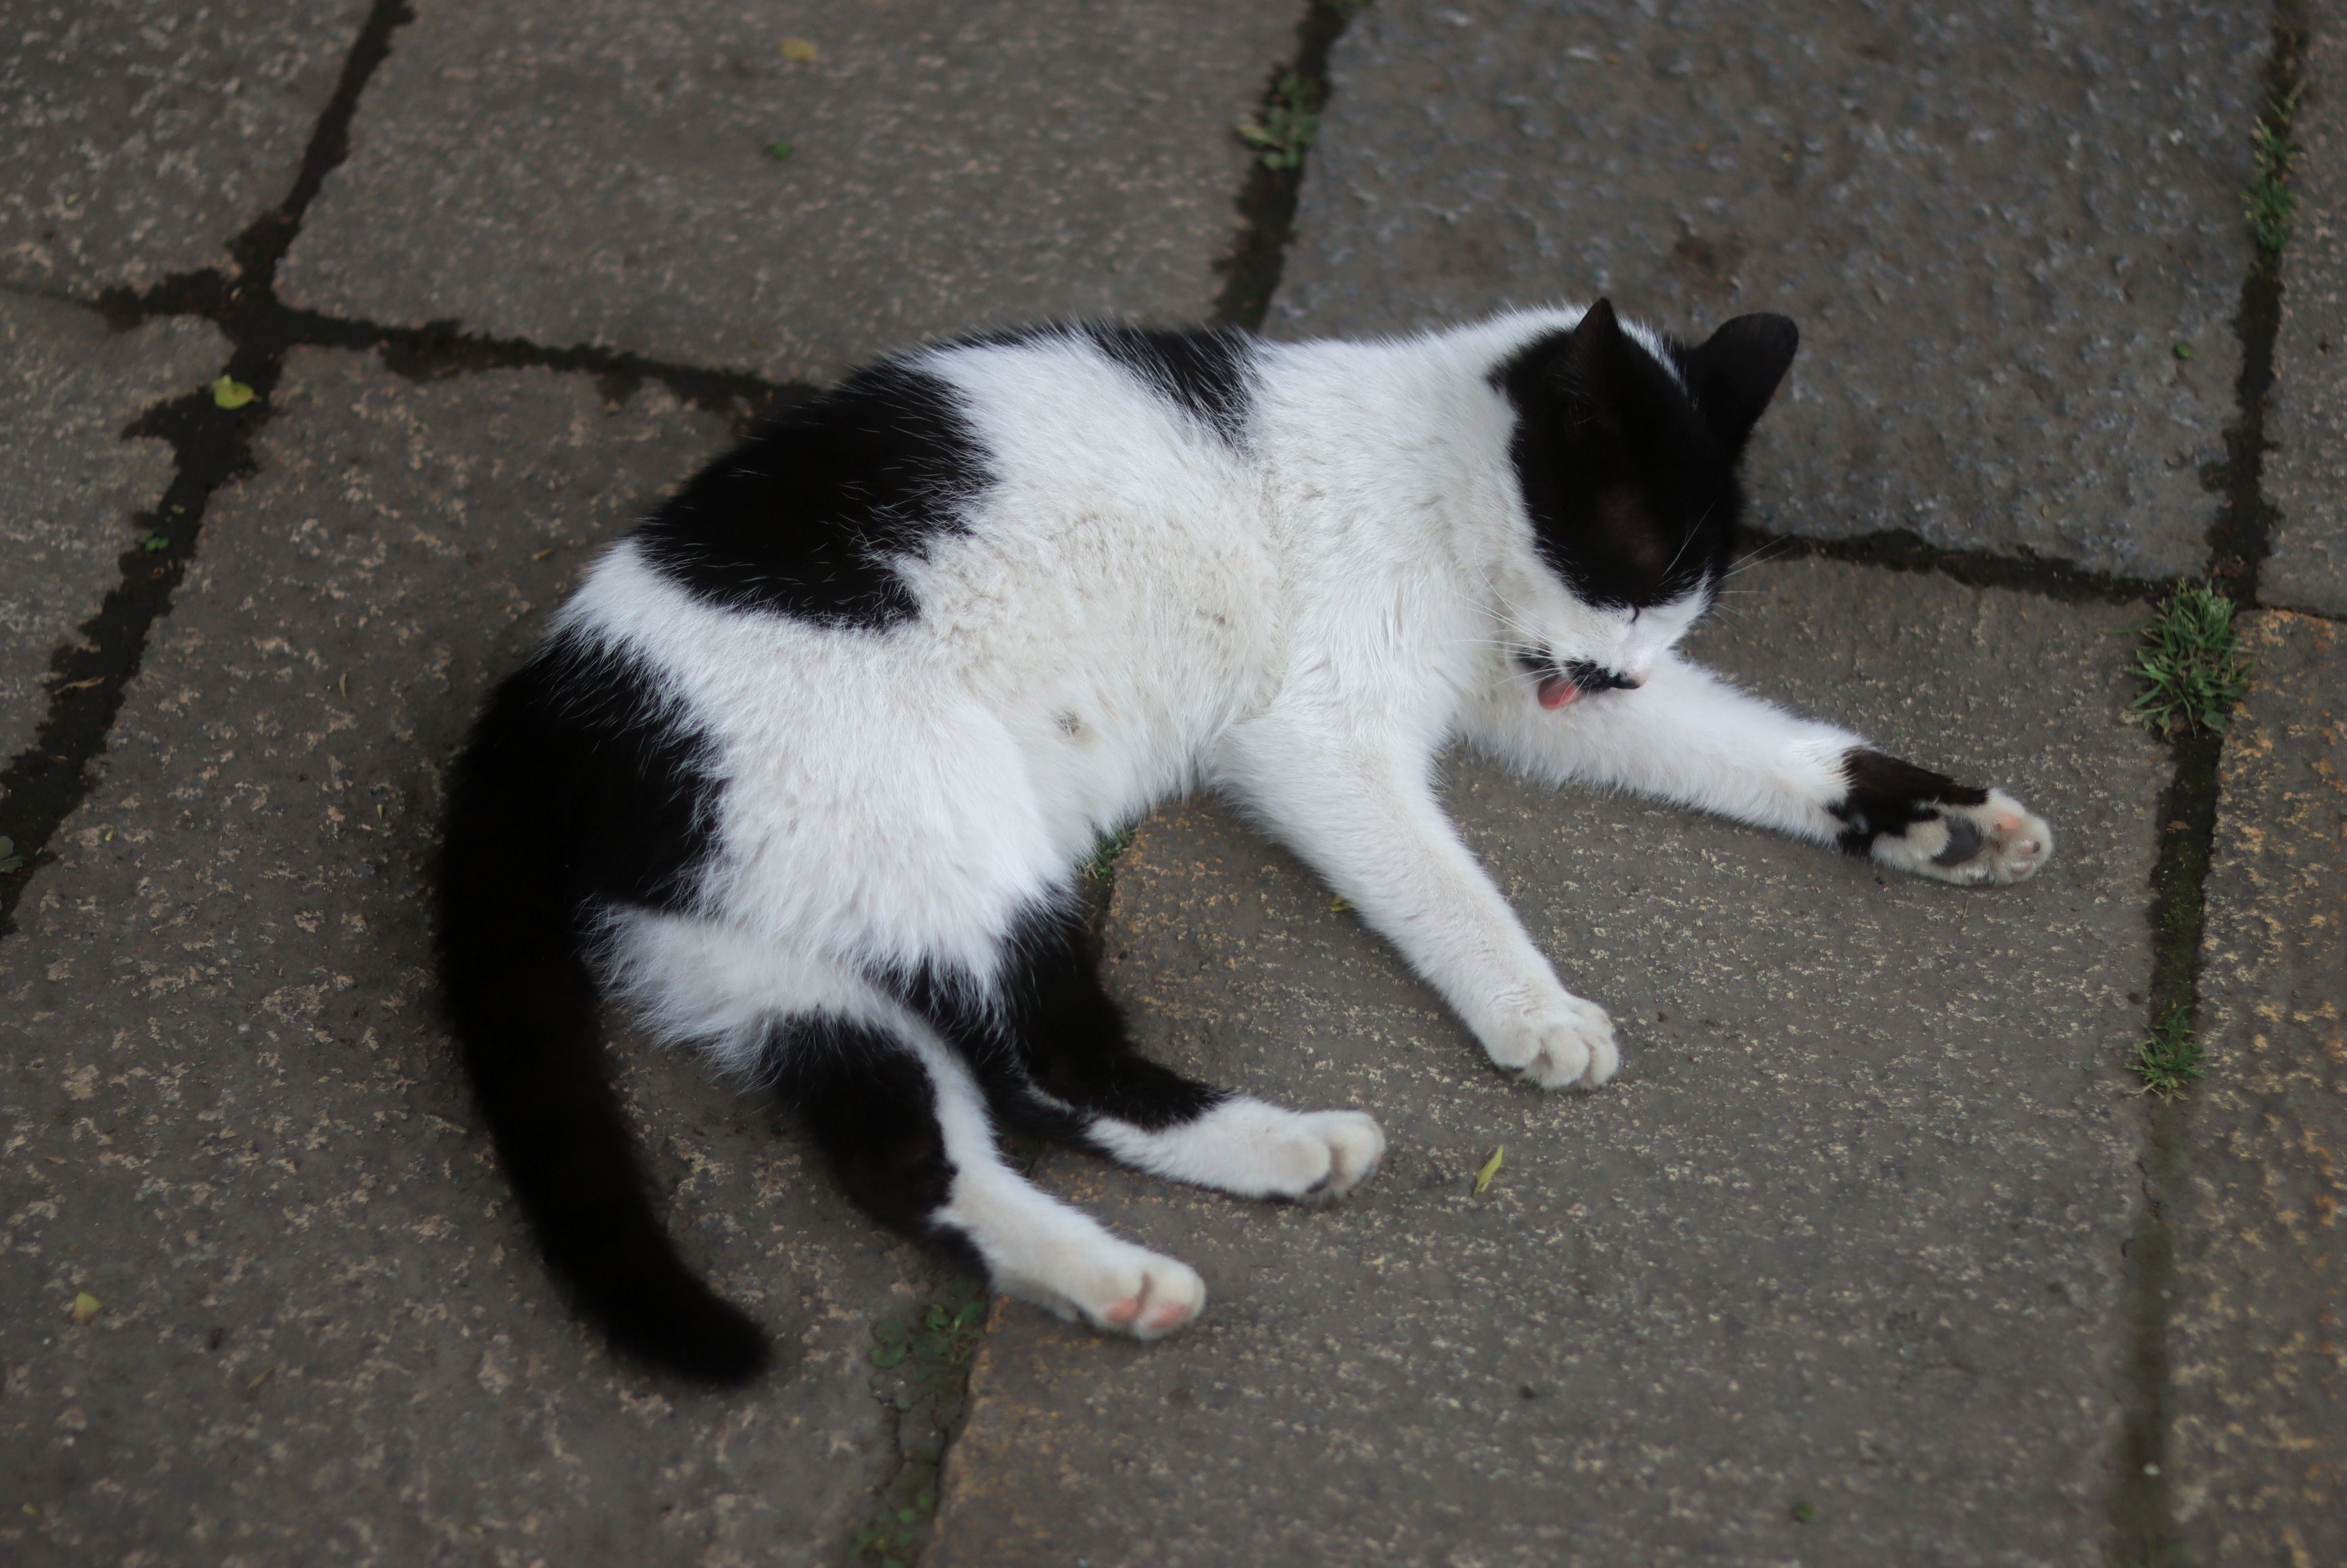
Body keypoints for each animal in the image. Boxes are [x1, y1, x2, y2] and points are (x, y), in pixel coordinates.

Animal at [434, 299, 2052, 1383]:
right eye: (1635, 566)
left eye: (1686, 598)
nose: (1616, 664)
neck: (1437, 483)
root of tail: (541, 714)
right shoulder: (1321, 734)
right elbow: (1442, 881)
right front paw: (1531, 1008)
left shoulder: (1530, 692)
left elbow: (1746, 746)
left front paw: (1936, 820)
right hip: (943, 822)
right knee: (1044, 1063)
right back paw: (1288, 1146)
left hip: (764, 957)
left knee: (911, 1148)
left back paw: (1124, 1272)